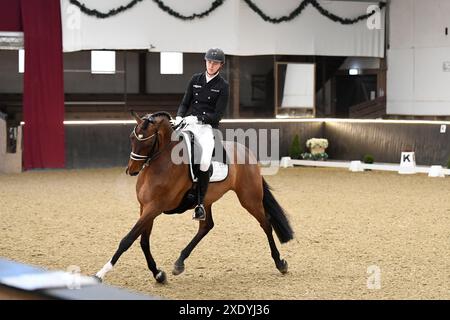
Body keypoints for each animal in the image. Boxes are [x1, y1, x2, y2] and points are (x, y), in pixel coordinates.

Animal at [94, 111, 296, 284]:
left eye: (147, 141)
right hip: (206, 201)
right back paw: (179, 262)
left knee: (266, 224)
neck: (161, 164)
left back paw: (280, 263)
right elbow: (143, 241)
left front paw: (100, 273)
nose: (132, 170)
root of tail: (246, 151)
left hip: (250, 199)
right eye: (132, 138)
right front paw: (158, 274)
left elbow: (128, 239)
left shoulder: (154, 208)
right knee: (206, 226)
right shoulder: (145, 207)